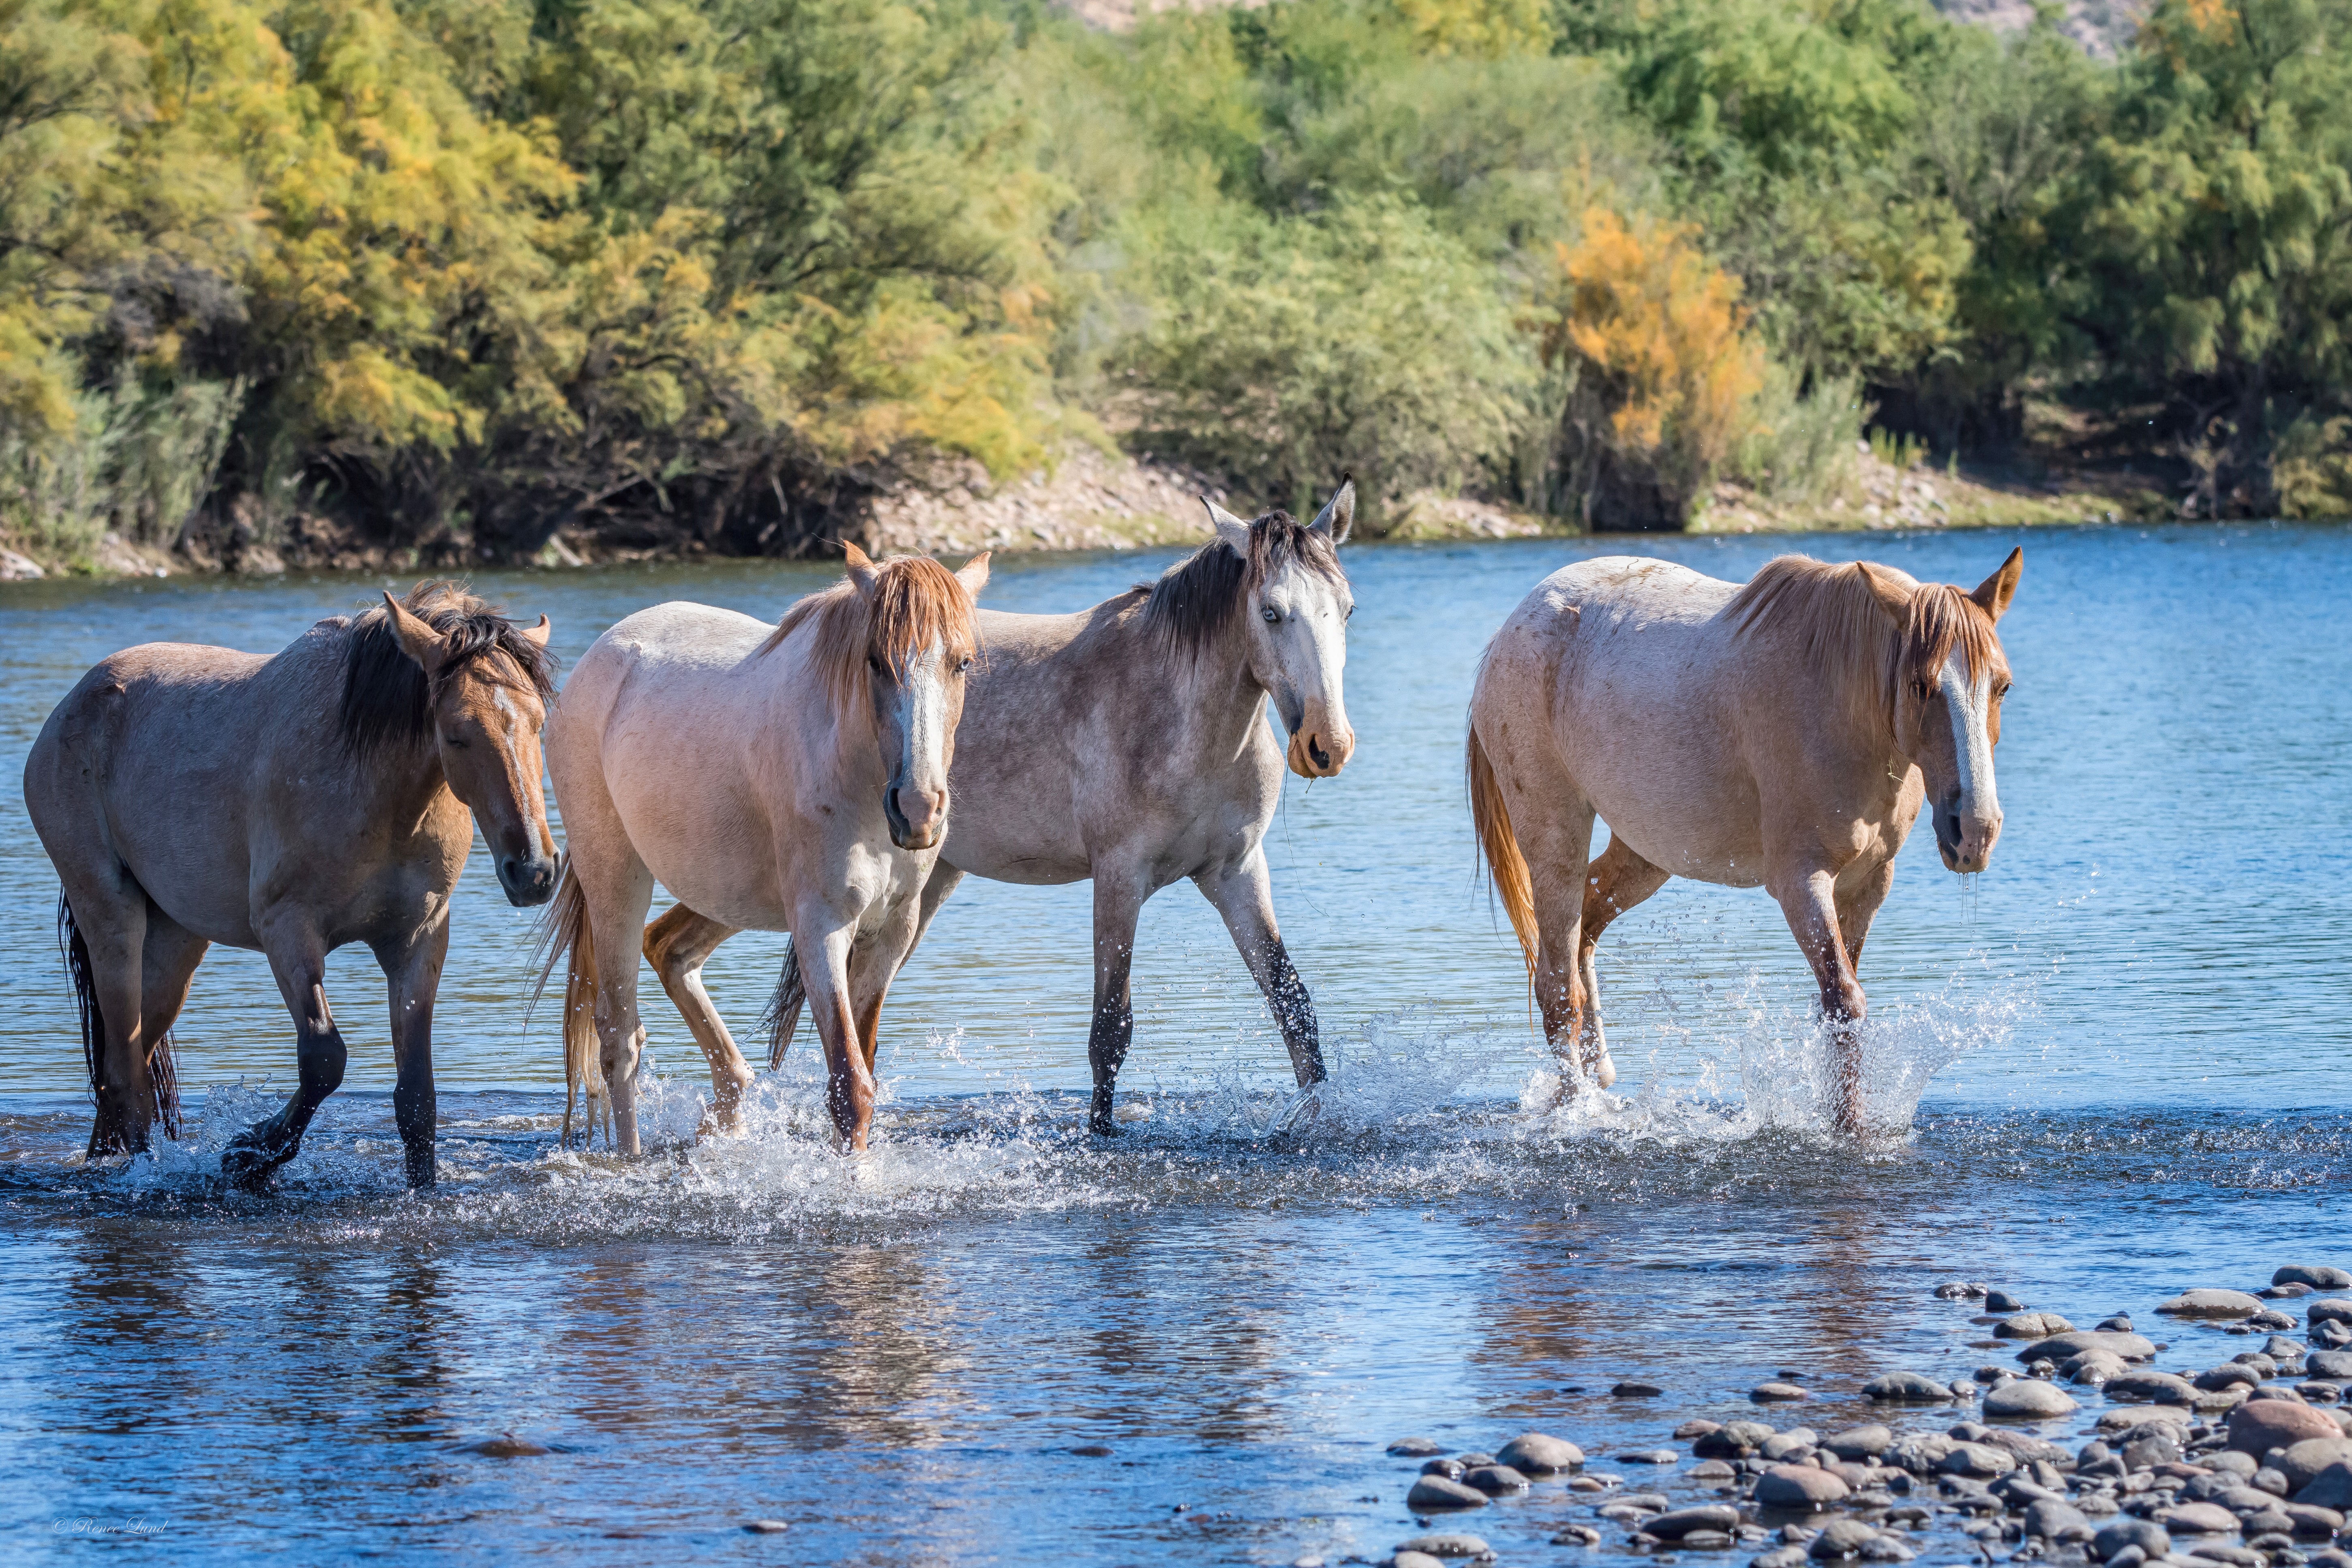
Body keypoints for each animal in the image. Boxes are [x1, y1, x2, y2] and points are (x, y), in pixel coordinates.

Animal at [23, 583, 559, 1185]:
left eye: (539, 723)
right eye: (456, 734)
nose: (533, 870)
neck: (378, 794)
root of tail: (69, 708)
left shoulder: (418, 938)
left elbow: (417, 1098)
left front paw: (422, 1190)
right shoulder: (288, 929)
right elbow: (324, 1059)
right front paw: (250, 1153)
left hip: (176, 938)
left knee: (126, 1064)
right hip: (111, 916)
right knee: (125, 1073)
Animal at [538, 543, 987, 1152]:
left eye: (960, 663)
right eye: (875, 661)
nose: (917, 808)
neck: (856, 774)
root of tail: (599, 658)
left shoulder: (890, 931)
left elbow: (863, 1069)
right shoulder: (821, 926)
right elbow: (850, 1086)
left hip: (727, 895)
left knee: (671, 951)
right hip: (616, 879)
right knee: (619, 1040)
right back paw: (632, 1157)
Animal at [734, 484, 1364, 1133]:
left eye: (1346, 610)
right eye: (1271, 612)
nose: (1327, 744)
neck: (1183, 721)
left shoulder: (1236, 872)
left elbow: (1293, 1005)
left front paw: (1318, 1118)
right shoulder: (1119, 878)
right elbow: (1110, 1029)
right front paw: (1101, 1132)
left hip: (928, 885)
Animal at [1467, 545, 2022, 1133]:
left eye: (2002, 686)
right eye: (1920, 685)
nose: (1975, 830)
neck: (1845, 704)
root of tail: (1509, 631)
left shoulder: (1867, 885)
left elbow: (1836, 1006)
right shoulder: (1801, 881)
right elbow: (1844, 1000)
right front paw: (1847, 1131)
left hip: (1646, 853)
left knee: (1586, 930)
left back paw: (1600, 1080)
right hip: (1555, 835)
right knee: (1556, 987)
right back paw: (1573, 1111)